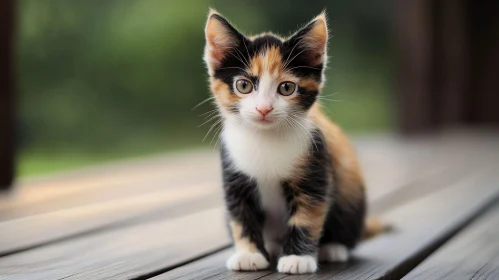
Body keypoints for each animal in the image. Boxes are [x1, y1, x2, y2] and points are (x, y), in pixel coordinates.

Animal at [203, 9, 378, 274]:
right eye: (243, 85)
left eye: (286, 88)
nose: (263, 108)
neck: (265, 138)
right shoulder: (234, 175)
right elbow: (241, 218)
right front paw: (249, 254)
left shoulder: (314, 168)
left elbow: (307, 217)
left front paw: (298, 258)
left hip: (350, 193)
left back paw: (332, 248)